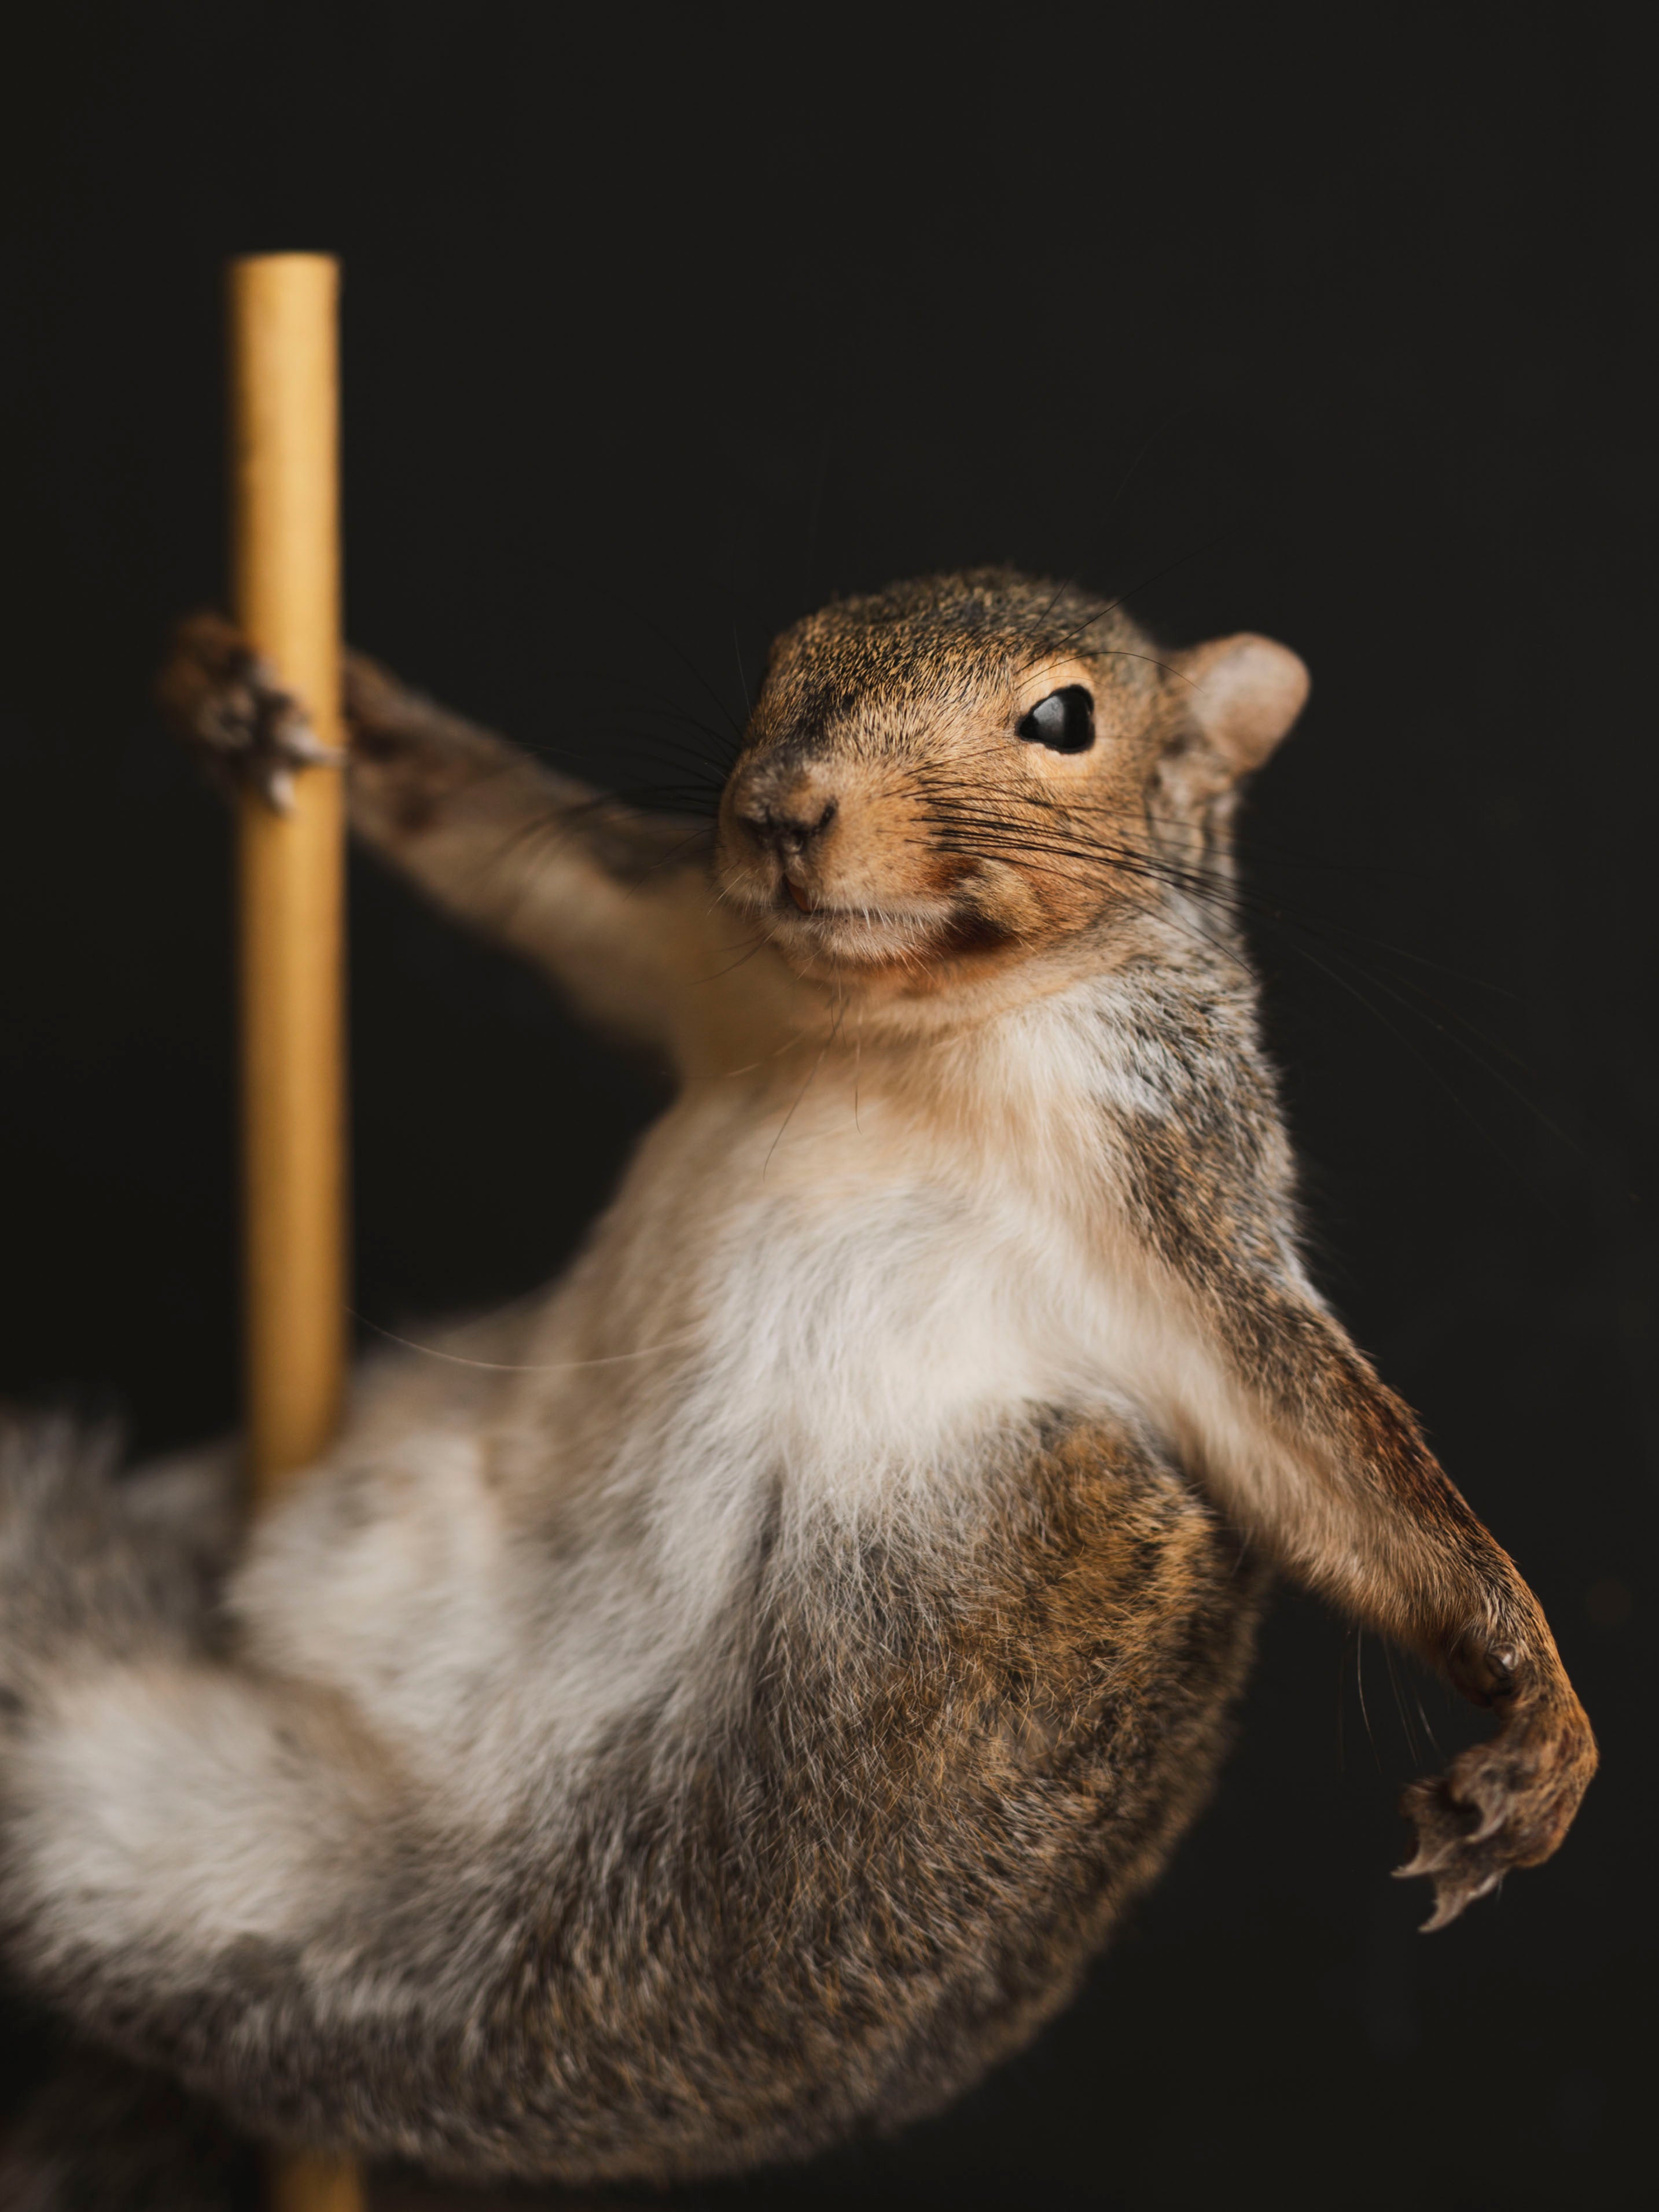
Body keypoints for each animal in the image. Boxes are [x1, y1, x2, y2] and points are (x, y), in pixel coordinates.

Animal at [0, 571, 1594, 2193]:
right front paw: (244, 701)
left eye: (1063, 718)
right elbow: (507, 860)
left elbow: (1315, 1456)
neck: (895, 1027)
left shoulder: (1172, 1194)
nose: (778, 807)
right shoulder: (684, 944)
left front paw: (1535, 1715)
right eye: (780, 662)